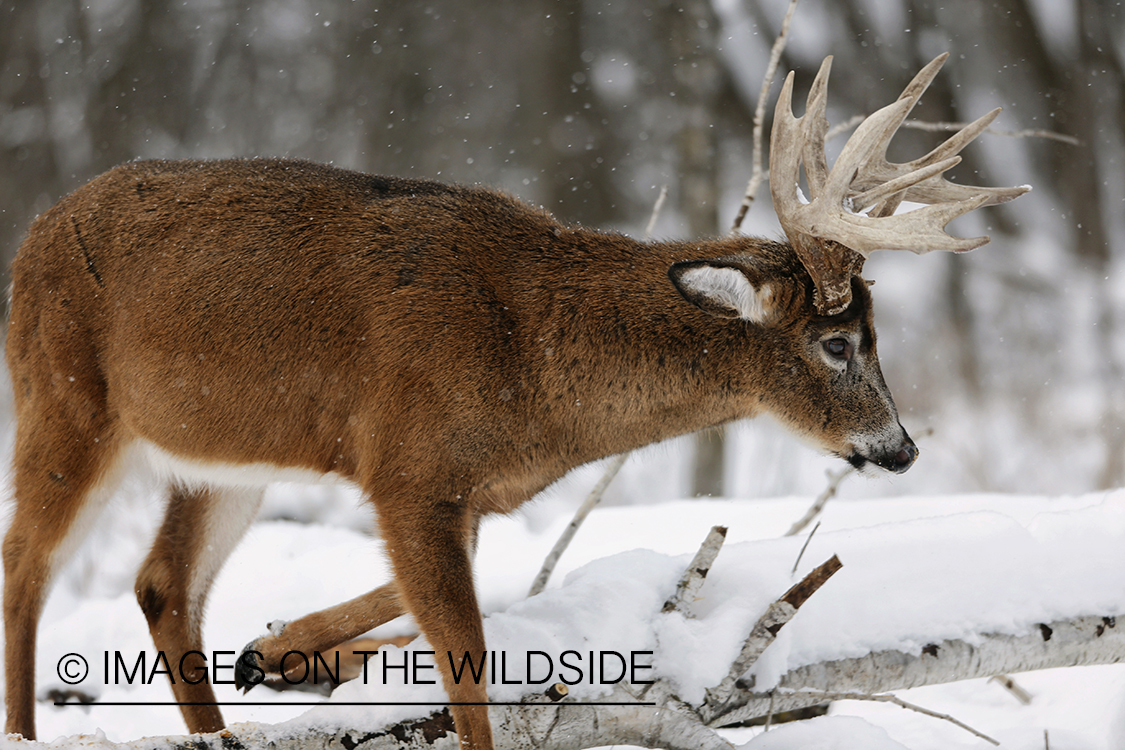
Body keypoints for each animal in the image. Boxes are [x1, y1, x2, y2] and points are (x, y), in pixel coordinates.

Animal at [4, 51, 1026, 746]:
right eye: (837, 342)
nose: (899, 447)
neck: (533, 357)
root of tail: (32, 236)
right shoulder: (407, 465)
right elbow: (467, 668)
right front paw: (302, 655)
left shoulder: (462, 488)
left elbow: (449, 604)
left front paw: (281, 649)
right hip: (64, 399)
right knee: (27, 559)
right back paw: (24, 729)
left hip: (220, 458)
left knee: (162, 585)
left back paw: (221, 720)